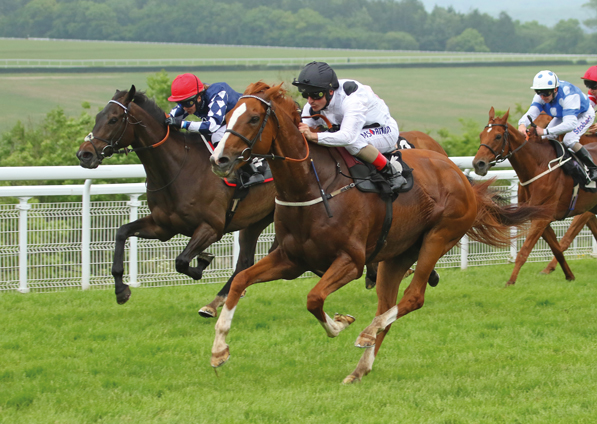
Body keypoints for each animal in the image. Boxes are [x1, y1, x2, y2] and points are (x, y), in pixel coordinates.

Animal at [208, 83, 544, 384]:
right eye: (228, 117)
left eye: (253, 118)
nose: (219, 159)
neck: (314, 186)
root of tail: (459, 175)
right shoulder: (291, 260)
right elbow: (240, 281)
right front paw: (219, 349)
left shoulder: (351, 261)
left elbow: (314, 298)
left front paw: (340, 323)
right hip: (396, 256)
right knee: (388, 307)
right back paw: (360, 367)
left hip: (438, 237)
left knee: (413, 298)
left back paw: (367, 333)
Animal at [474, 107, 597, 284]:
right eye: (481, 135)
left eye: (498, 136)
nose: (478, 164)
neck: (538, 165)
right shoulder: (539, 215)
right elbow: (557, 249)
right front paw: (568, 275)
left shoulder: (544, 217)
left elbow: (526, 250)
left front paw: (510, 283)